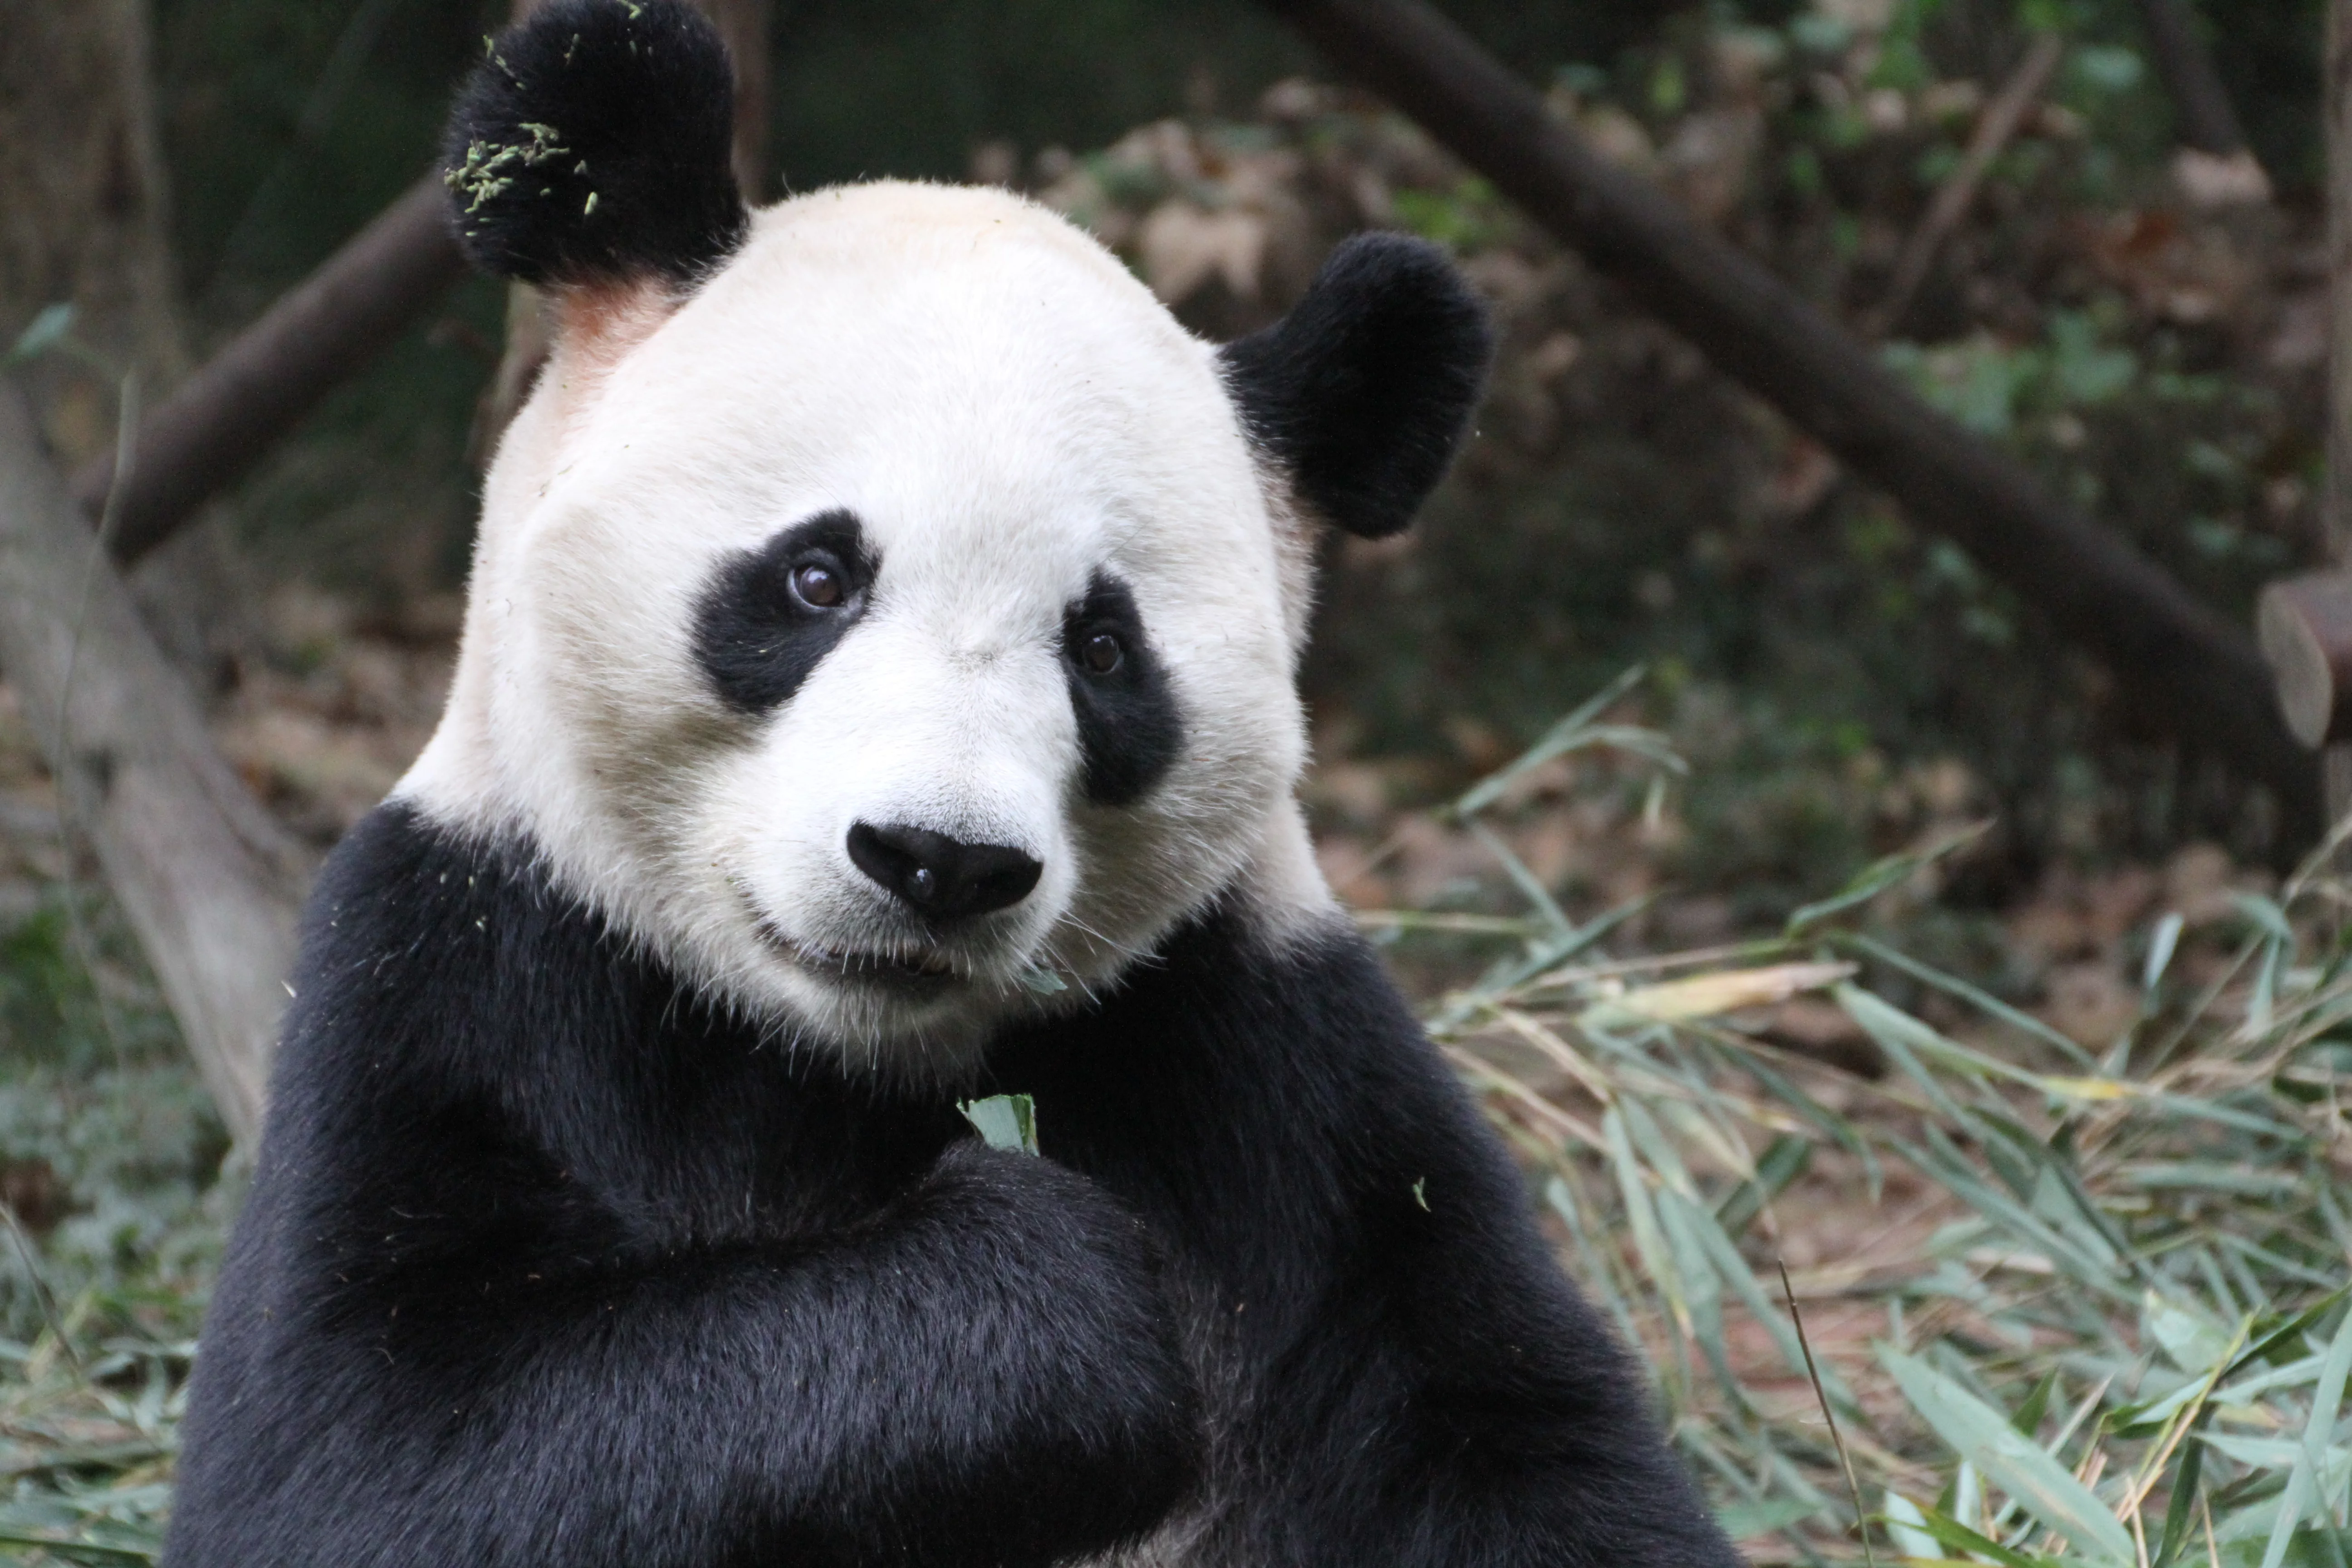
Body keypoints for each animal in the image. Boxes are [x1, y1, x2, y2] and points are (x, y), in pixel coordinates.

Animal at [164, 4, 1746, 1566]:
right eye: (817, 577)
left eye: (1103, 648)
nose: (939, 860)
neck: (841, 1055)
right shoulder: (472, 961)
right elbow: (362, 1460)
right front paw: (1053, 1302)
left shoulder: (1269, 1056)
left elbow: (1510, 1440)